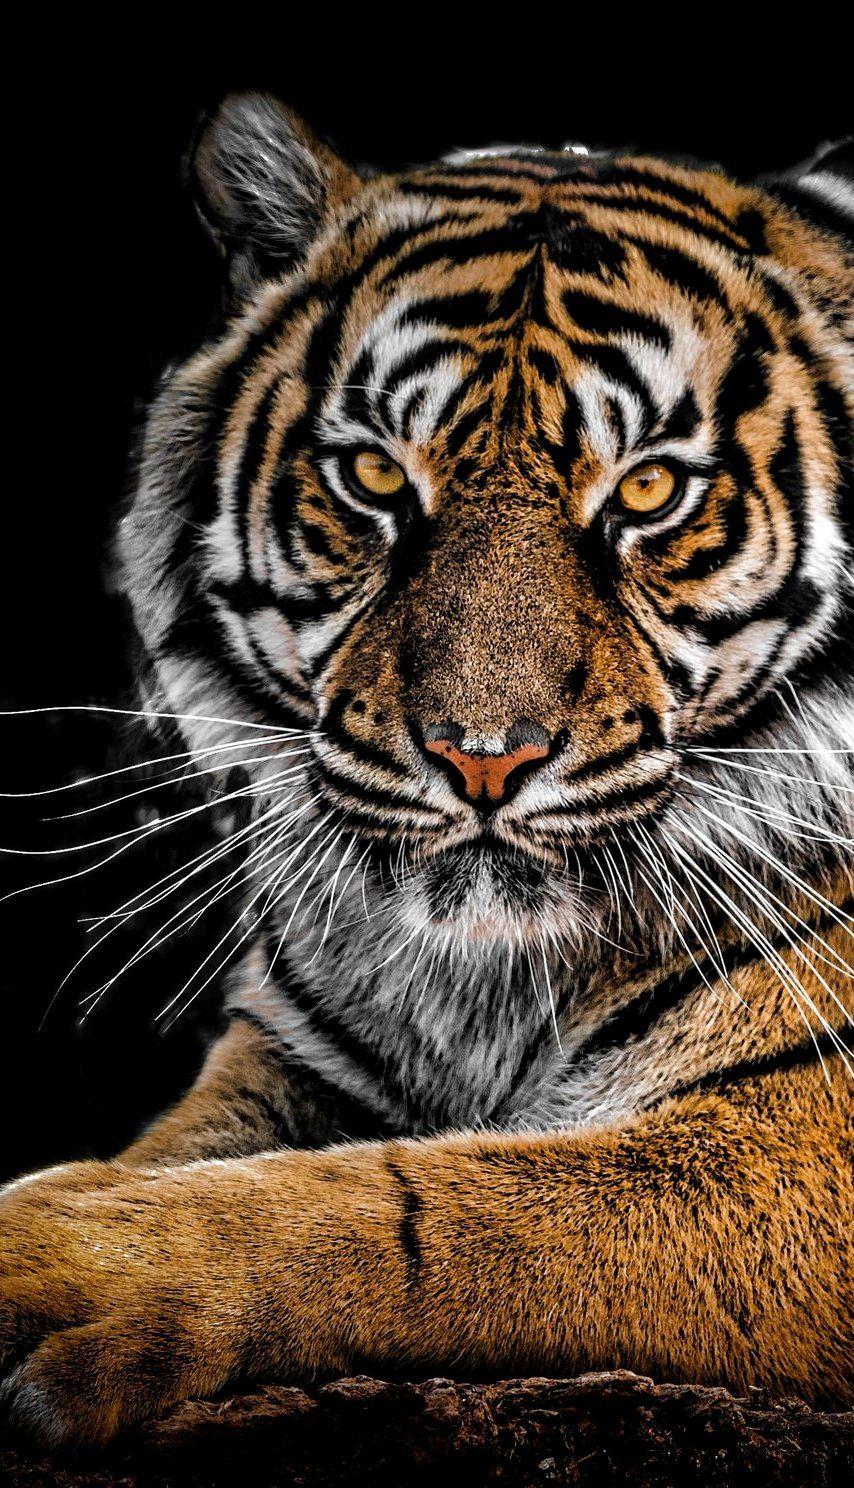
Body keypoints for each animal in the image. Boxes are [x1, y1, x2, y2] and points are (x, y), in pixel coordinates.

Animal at [1, 94, 852, 1449]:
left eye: (648, 490)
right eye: (373, 477)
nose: (479, 758)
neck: (484, 987)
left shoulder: (801, 1136)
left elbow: (425, 1209)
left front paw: (57, 1259)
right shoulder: (294, 1053)